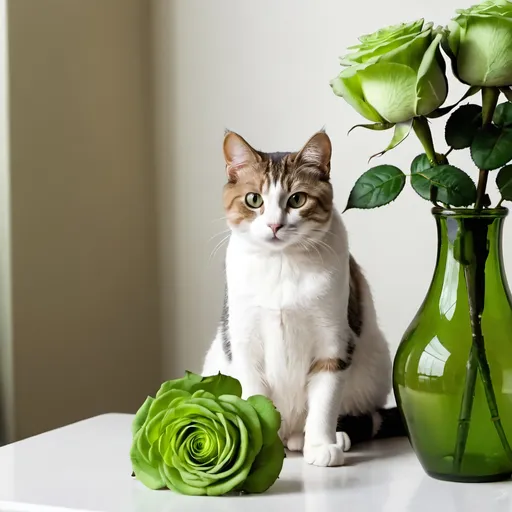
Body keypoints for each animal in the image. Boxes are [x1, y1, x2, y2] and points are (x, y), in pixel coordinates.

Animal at [202, 130, 406, 466]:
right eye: (253, 199)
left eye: (297, 199)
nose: (274, 225)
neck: (281, 264)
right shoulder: (244, 343)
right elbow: (255, 398)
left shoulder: (333, 340)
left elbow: (324, 401)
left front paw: (321, 444)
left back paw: (325, 437)